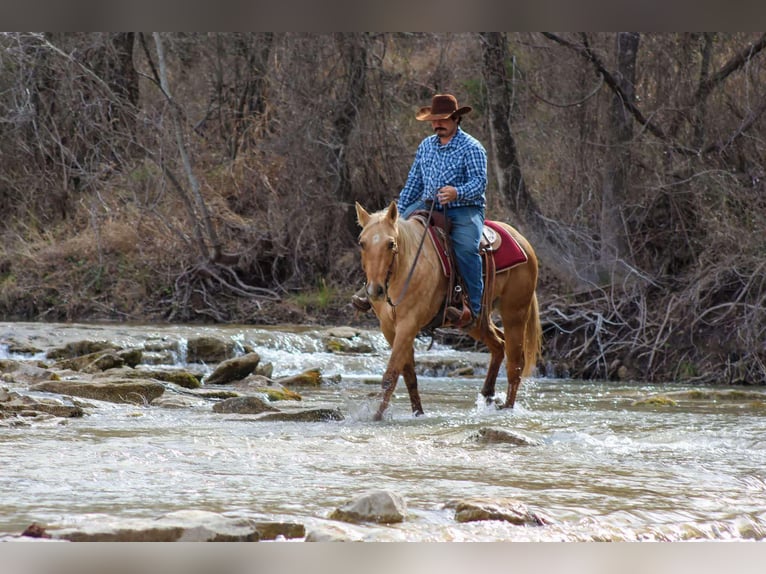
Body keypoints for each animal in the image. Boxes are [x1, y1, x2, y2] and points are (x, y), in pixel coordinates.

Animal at [355, 200, 541, 421]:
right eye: (362, 243)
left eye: (391, 243)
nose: (374, 290)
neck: (406, 269)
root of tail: (522, 240)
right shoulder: (389, 328)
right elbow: (409, 375)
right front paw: (418, 413)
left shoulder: (408, 324)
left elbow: (391, 374)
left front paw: (376, 417)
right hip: (475, 322)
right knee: (498, 344)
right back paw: (488, 395)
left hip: (515, 313)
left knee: (515, 363)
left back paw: (507, 409)